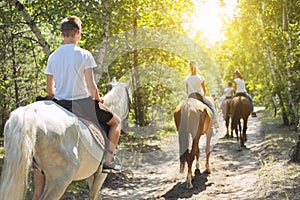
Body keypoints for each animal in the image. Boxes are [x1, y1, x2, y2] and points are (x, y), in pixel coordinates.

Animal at [0, 80, 132, 199]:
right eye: (130, 100)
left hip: (40, 173)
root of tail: (30, 112)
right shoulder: (100, 174)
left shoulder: (92, 174)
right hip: (61, 179)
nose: (126, 127)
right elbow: (94, 196)